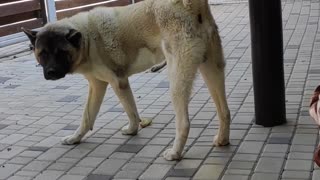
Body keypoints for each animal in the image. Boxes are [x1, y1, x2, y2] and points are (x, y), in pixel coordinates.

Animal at [23, 0, 231, 160]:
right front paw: (75, 138)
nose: (50, 72)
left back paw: (175, 153)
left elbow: (130, 111)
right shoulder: (98, 85)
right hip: (212, 71)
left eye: (60, 53)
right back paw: (222, 140)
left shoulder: (118, 82)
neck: (87, 38)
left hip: (177, 83)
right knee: (224, 111)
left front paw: (132, 130)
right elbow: (88, 116)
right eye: (43, 54)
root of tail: (189, 6)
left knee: (184, 123)